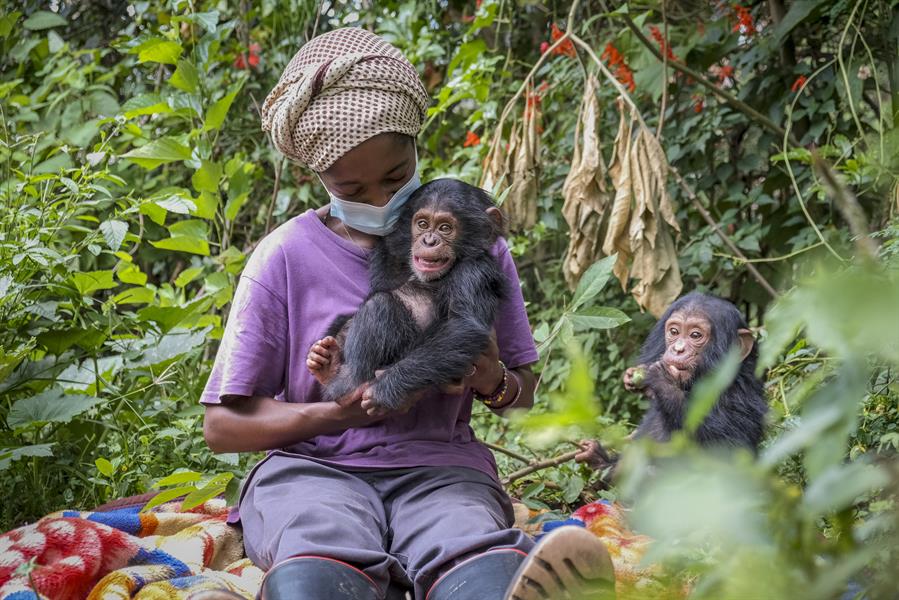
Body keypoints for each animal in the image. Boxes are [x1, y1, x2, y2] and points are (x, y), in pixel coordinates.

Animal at [308, 177, 506, 412]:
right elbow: (381, 282)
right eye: (422, 224)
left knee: (379, 305)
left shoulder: (474, 272)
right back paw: (328, 364)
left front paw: (384, 389)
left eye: (445, 228)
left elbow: (463, 326)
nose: (429, 241)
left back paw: (349, 383)